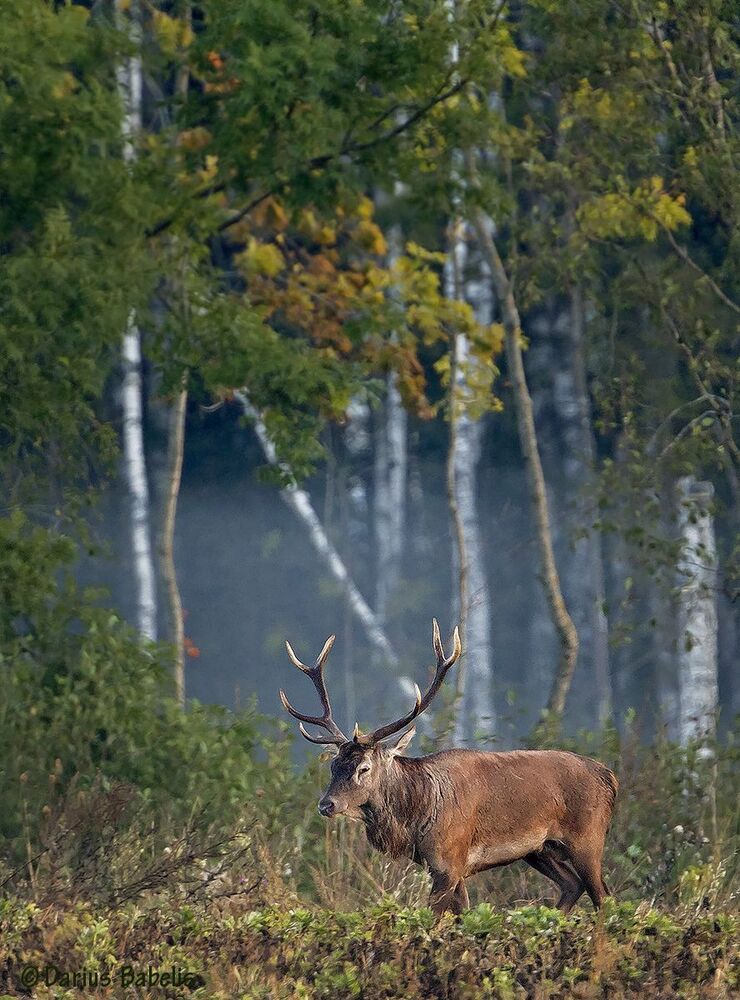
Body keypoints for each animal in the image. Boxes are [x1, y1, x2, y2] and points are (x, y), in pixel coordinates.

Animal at [279, 619, 618, 916]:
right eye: (334, 766)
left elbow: (434, 917)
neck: (416, 814)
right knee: (572, 885)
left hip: (588, 838)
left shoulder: (450, 861)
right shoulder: (447, 867)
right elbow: (461, 914)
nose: (326, 804)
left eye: (364, 768)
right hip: (540, 850)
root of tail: (609, 777)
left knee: (604, 897)